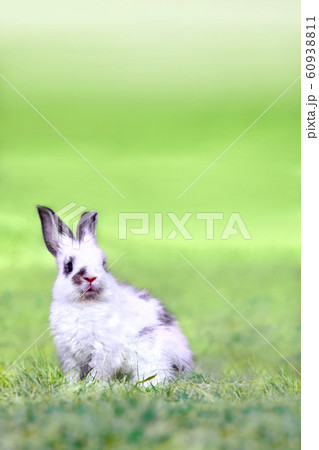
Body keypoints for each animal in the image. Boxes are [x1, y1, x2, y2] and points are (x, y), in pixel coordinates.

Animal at [36, 206, 194, 384]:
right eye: (68, 266)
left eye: (103, 264)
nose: (91, 278)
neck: (85, 304)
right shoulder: (69, 353)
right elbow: (73, 372)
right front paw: (71, 385)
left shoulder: (103, 351)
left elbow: (98, 371)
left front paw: (93, 385)